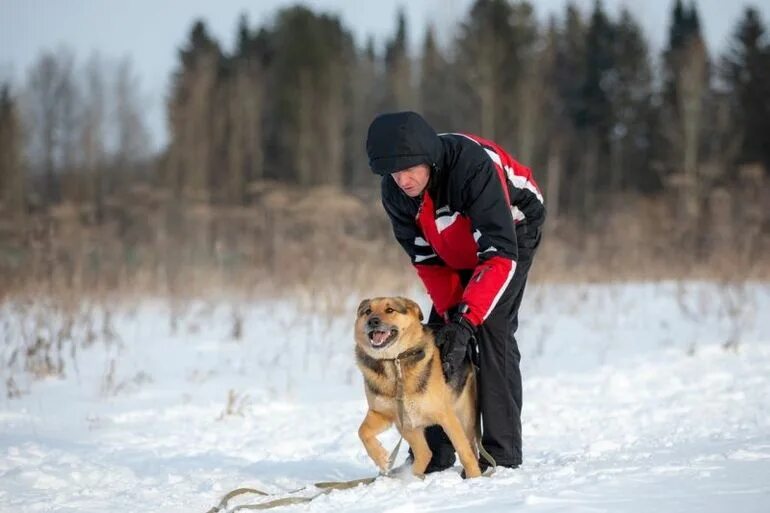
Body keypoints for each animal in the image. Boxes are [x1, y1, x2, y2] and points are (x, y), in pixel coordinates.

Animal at [354, 296, 480, 476]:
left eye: (390, 310)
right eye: (368, 311)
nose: (373, 321)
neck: (394, 361)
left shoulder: (447, 417)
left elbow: (464, 452)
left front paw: (475, 478)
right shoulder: (382, 413)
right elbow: (362, 431)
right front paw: (381, 458)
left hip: (464, 417)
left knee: (471, 448)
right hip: (407, 425)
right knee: (425, 453)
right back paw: (411, 477)